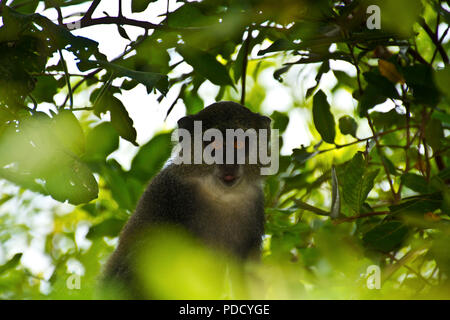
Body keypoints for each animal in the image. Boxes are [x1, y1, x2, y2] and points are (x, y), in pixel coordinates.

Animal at [101, 101, 270, 298]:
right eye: (215, 143)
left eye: (238, 143)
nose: (229, 163)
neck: (220, 194)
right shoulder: (169, 190)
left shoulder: (254, 203)